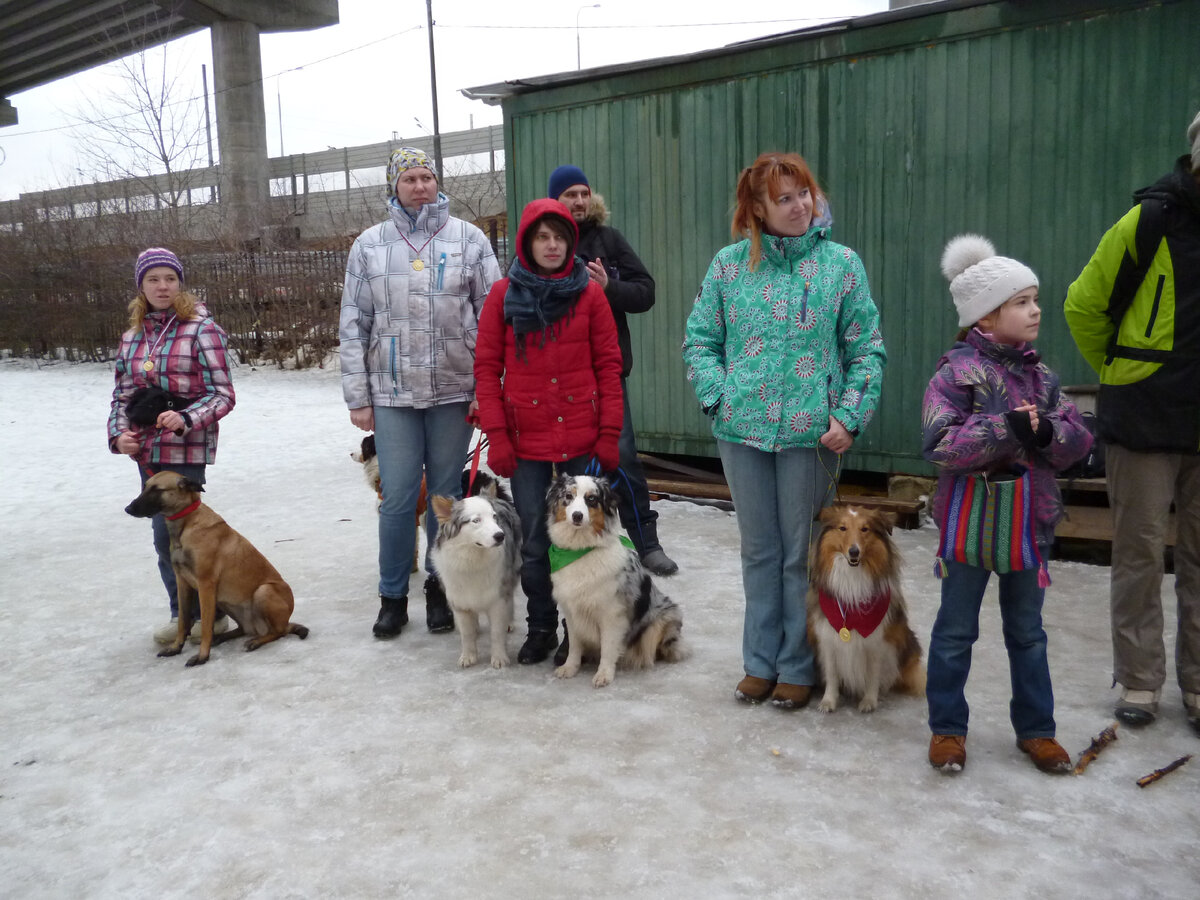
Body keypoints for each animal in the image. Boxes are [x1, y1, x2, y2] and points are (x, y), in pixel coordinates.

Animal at [126, 475, 309, 667]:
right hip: (225, 602)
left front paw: (202, 656)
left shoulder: (205, 585)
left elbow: (206, 626)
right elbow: (183, 621)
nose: (128, 508)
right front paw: (176, 647)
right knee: (244, 629)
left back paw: (256, 641)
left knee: (279, 631)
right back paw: (223, 637)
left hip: (263, 591)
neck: (186, 525)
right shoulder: (182, 583)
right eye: (145, 487)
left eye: (157, 489)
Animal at [434, 480, 523, 672]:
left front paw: (499, 658)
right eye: (476, 520)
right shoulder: (459, 601)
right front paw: (468, 656)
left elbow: (496, 632)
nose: (500, 536)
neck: (473, 558)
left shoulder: (498, 598)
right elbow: (467, 634)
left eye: (494, 517)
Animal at [544, 472, 686, 691]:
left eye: (591, 499)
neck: (580, 550)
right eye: (568, 496)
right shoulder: (572, 612)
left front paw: (604, 675)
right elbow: (575, 646)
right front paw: (569, 668)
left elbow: (608, 648)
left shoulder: (612, 614)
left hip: (663, 618)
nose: (577, 516)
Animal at [806, 508, 926, 710]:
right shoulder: (828, 637)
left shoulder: (878, 641)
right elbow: (832, 673)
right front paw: (828, 701)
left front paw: (869, 701)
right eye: (842, 528)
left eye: (865, 529)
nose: (854, 552)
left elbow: (873, 674)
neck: (852, 579)